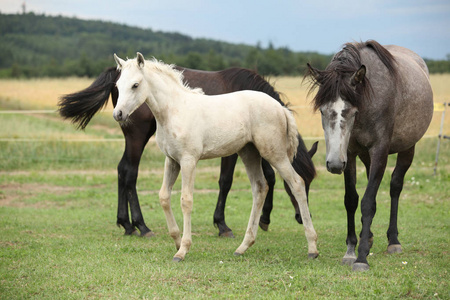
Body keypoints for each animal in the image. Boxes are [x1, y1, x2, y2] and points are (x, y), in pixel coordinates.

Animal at [59, 65, 316, 237]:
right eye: (305, 182)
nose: (302, 217)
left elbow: (269, 177)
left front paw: (264, 219)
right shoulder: (232, 151)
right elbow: (226, 181)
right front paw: (222, 225)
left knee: (122, 169)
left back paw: (126, 224)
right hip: (137, 136)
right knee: (130, 171)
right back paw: (141, 226)